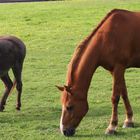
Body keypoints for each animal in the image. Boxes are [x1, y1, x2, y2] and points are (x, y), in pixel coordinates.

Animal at [56, 8, 140, 136]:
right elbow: (124, 93)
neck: (106, 38)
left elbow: (115, 97)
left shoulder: (119, 68)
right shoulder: (115, 71)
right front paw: (129, 120)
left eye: (70, 107)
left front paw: (112, 126)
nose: (64, 131)